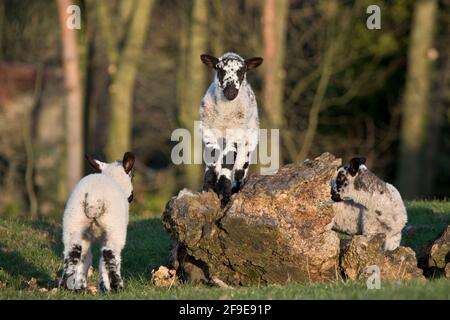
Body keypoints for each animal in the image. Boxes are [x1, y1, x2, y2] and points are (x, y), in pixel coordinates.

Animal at [60, 151, 136, 292]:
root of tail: (94, 199)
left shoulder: (85, 238)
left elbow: (87, 259)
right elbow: (106, 260)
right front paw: (105, 287)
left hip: (73, 223)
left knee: (73, 252)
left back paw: (66, 286)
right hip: (114, 227)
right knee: (109, 253)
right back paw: (118, 286)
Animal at [200, 52, 264, 208]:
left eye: (242, 71)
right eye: (219, 69)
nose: (230, 92)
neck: (225, 114)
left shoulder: (236, 133)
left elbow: (229, 159)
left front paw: (225, 194)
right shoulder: (207, 130)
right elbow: (212, 156)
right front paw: (208, 188)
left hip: (249, 140)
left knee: (240, 169)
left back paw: (235, 188)